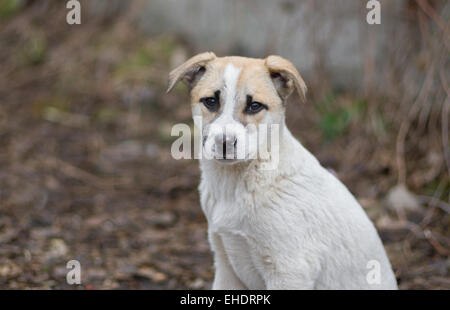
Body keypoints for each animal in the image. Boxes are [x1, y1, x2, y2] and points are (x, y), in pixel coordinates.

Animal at [166, 52, 398, 290]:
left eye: (255, 106)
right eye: (211, 101)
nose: (225, 143)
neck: (241, 182)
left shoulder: (289, 270)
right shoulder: (225, 265)